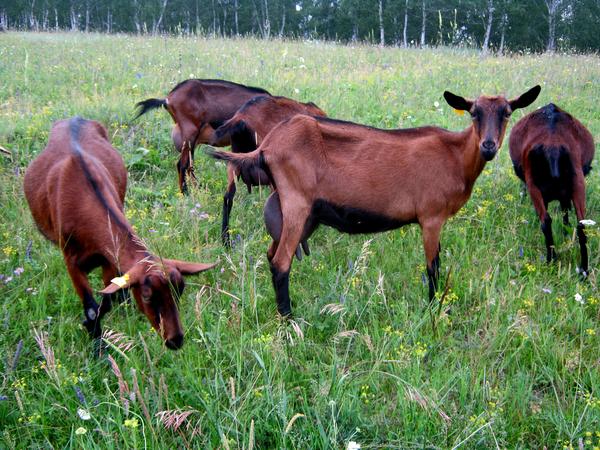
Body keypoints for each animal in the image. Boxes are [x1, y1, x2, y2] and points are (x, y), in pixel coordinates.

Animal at [24, 118, 216, 350]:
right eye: (147, 295)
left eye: (180, 290)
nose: (175, 340)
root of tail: (74, 119)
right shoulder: (71, 261)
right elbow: (92, 307)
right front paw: (97, 345)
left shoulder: (109, 258)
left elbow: (107, 300)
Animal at [135, 78, 270, 193]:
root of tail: (168, 99)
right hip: (190, 134)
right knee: (182, 165)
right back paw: (185, 193)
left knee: (189, 165)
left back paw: (197, 189)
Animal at [508, 104, 592, 276]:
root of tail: (552, 146)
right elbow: (565, 210)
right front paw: (566, 231)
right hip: (577, 184)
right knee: (580, 225)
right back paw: (583, 271)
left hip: (535, 187)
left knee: (546, 221)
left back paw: (551, 260)